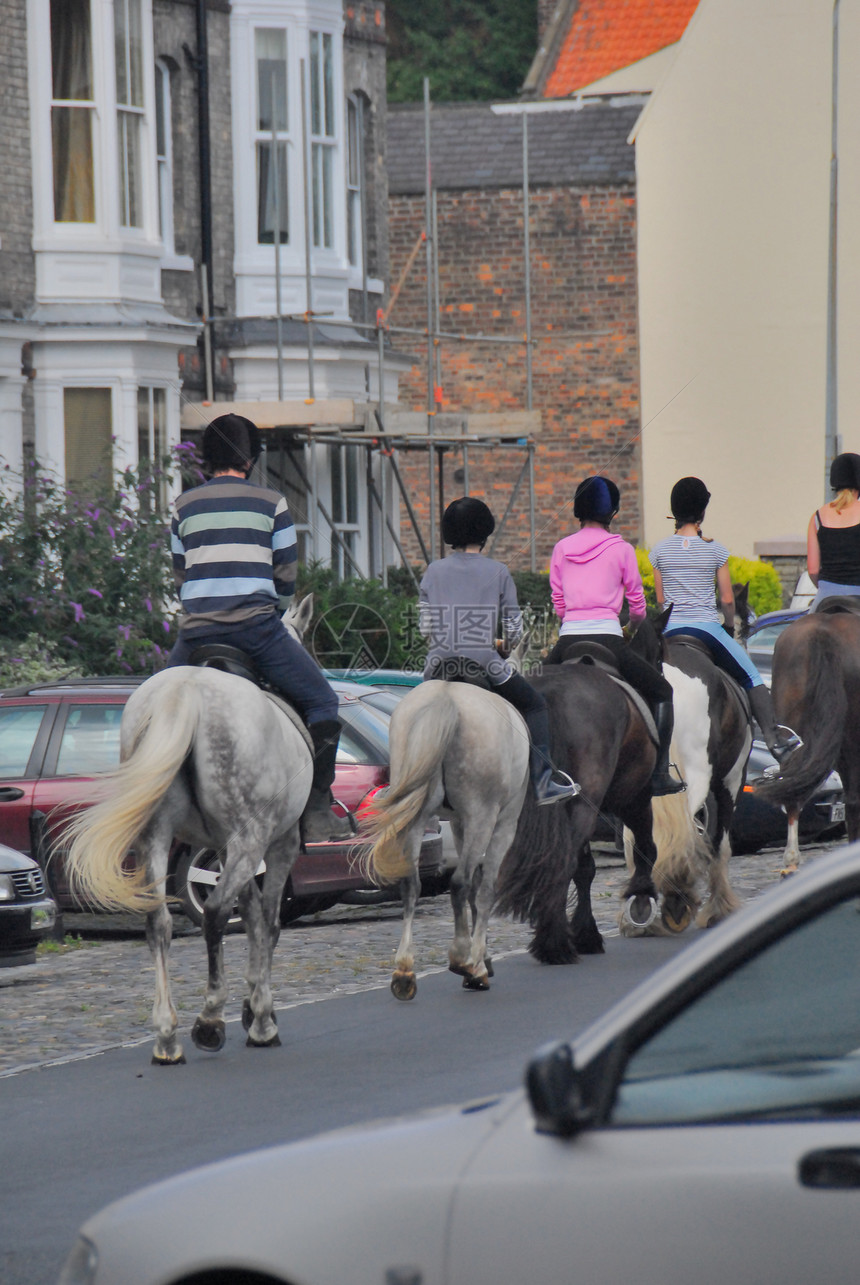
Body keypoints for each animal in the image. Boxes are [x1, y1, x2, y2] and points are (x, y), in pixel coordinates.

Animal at [61, 596, 314, 1069]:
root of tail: (184, 693)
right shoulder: (277, 845)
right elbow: (267, 922)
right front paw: (260, 1017)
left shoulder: (228, 849)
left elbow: (252, 917)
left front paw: (253, 1006)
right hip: (250, 838)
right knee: (214, 913)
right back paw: (210, 1020)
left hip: (157, 837)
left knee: (159, 921)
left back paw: (167, 1037)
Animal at [357, 678, 529, 997]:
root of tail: (444, 697)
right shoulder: (503, 825)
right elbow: (484, 891)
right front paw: (478, 962)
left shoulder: (460, 824)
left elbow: (474, 889)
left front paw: (482, 957)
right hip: (482, 817)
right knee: (459, 883)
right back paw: (463, 961)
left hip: (416, 817)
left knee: (411, 884)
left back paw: (404, 971)